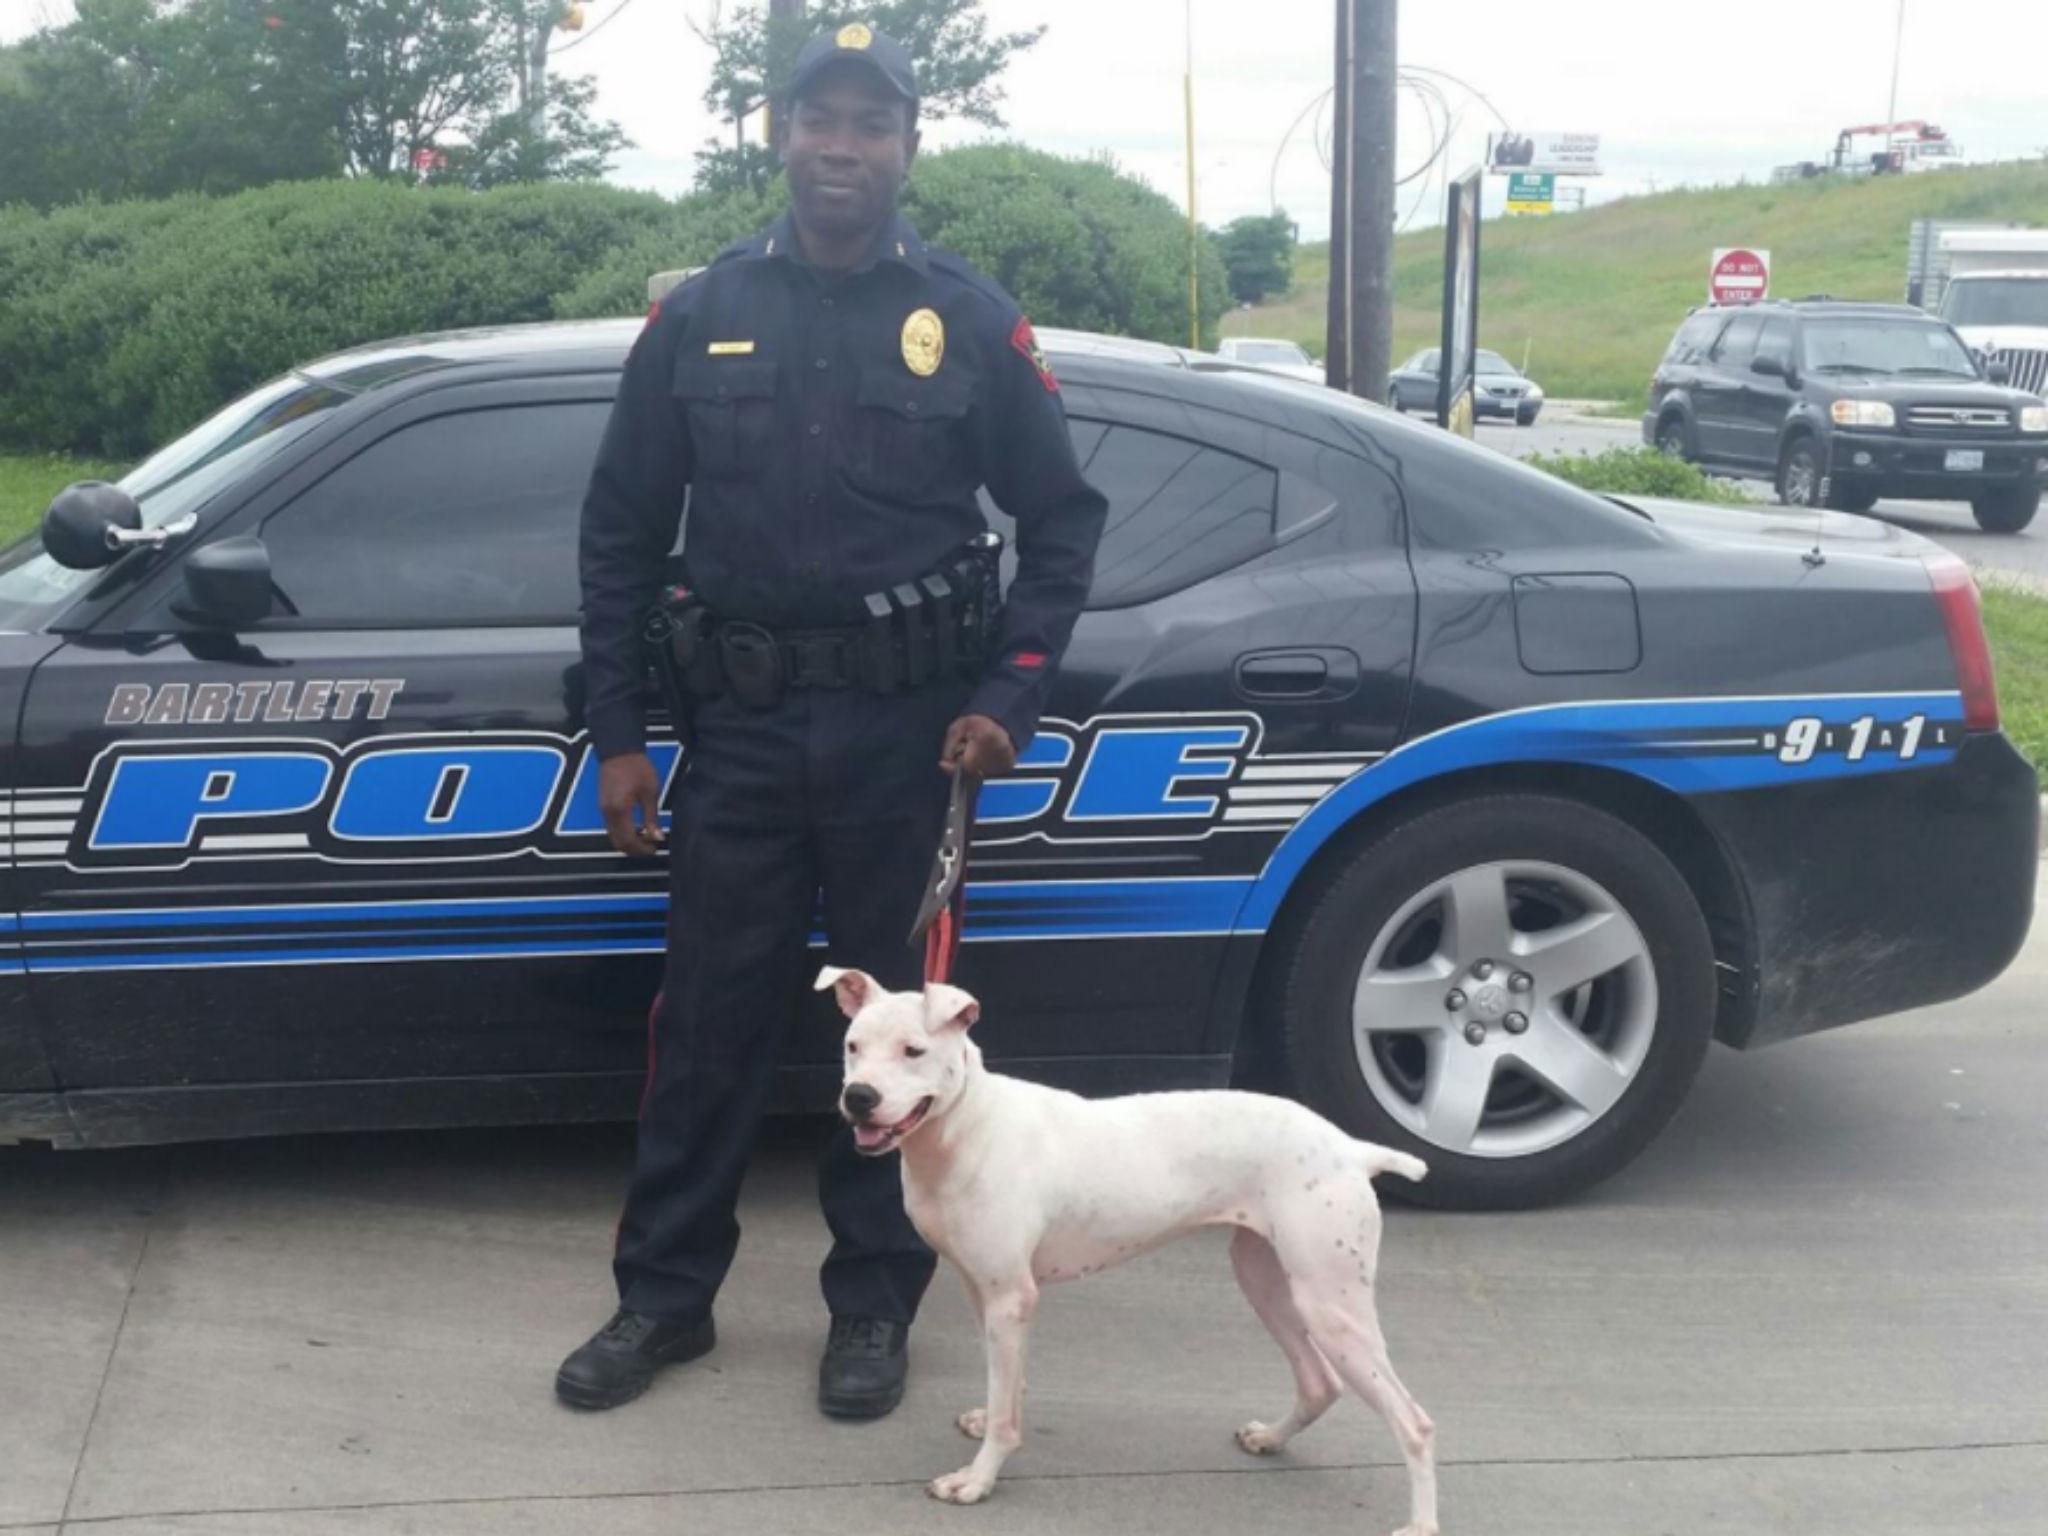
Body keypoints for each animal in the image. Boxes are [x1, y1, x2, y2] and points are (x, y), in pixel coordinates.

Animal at [815, 966, 1441, 1531]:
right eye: (852, 1046)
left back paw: (1419, 1524)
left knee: (1414, 1423)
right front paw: (991, 1415)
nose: (859, 1096)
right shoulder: (987, 1292)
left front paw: (978, 1479)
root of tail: (1349, 1148)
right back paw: (1269, 1438)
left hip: (1330, 1305)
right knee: (1320, 1382)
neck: (969, 1128)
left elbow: (1004, 1417)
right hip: (1266, 1281)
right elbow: (1005, 1385)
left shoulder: (1009, 1297)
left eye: (913, 1051)